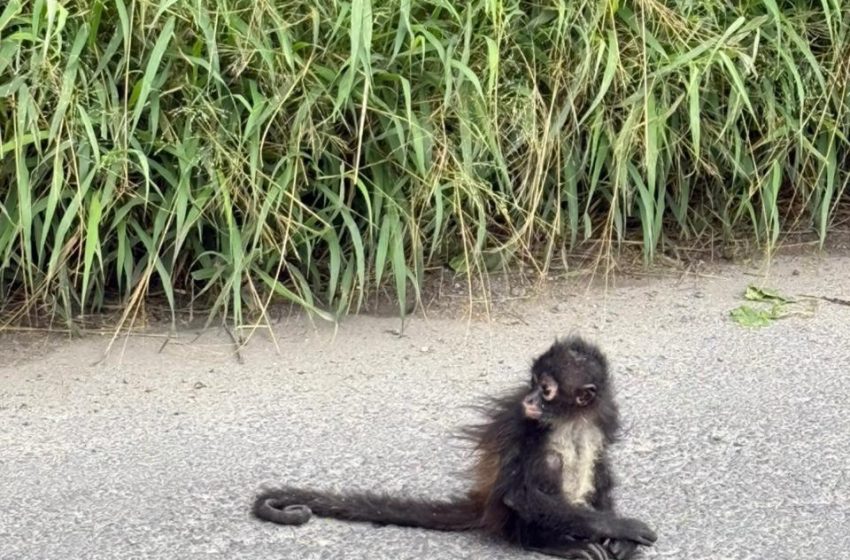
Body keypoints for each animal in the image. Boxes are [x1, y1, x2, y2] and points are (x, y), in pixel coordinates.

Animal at [252, 336, 657, 559]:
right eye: (532, 384)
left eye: (546, 390)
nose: (529, 399)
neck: (571, 419)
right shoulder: (522, 421)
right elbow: (520, 494)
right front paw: (621, 527)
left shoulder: (603, 416)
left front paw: (618, 539)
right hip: (509, 517)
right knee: (550, 465)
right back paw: (549, 541)